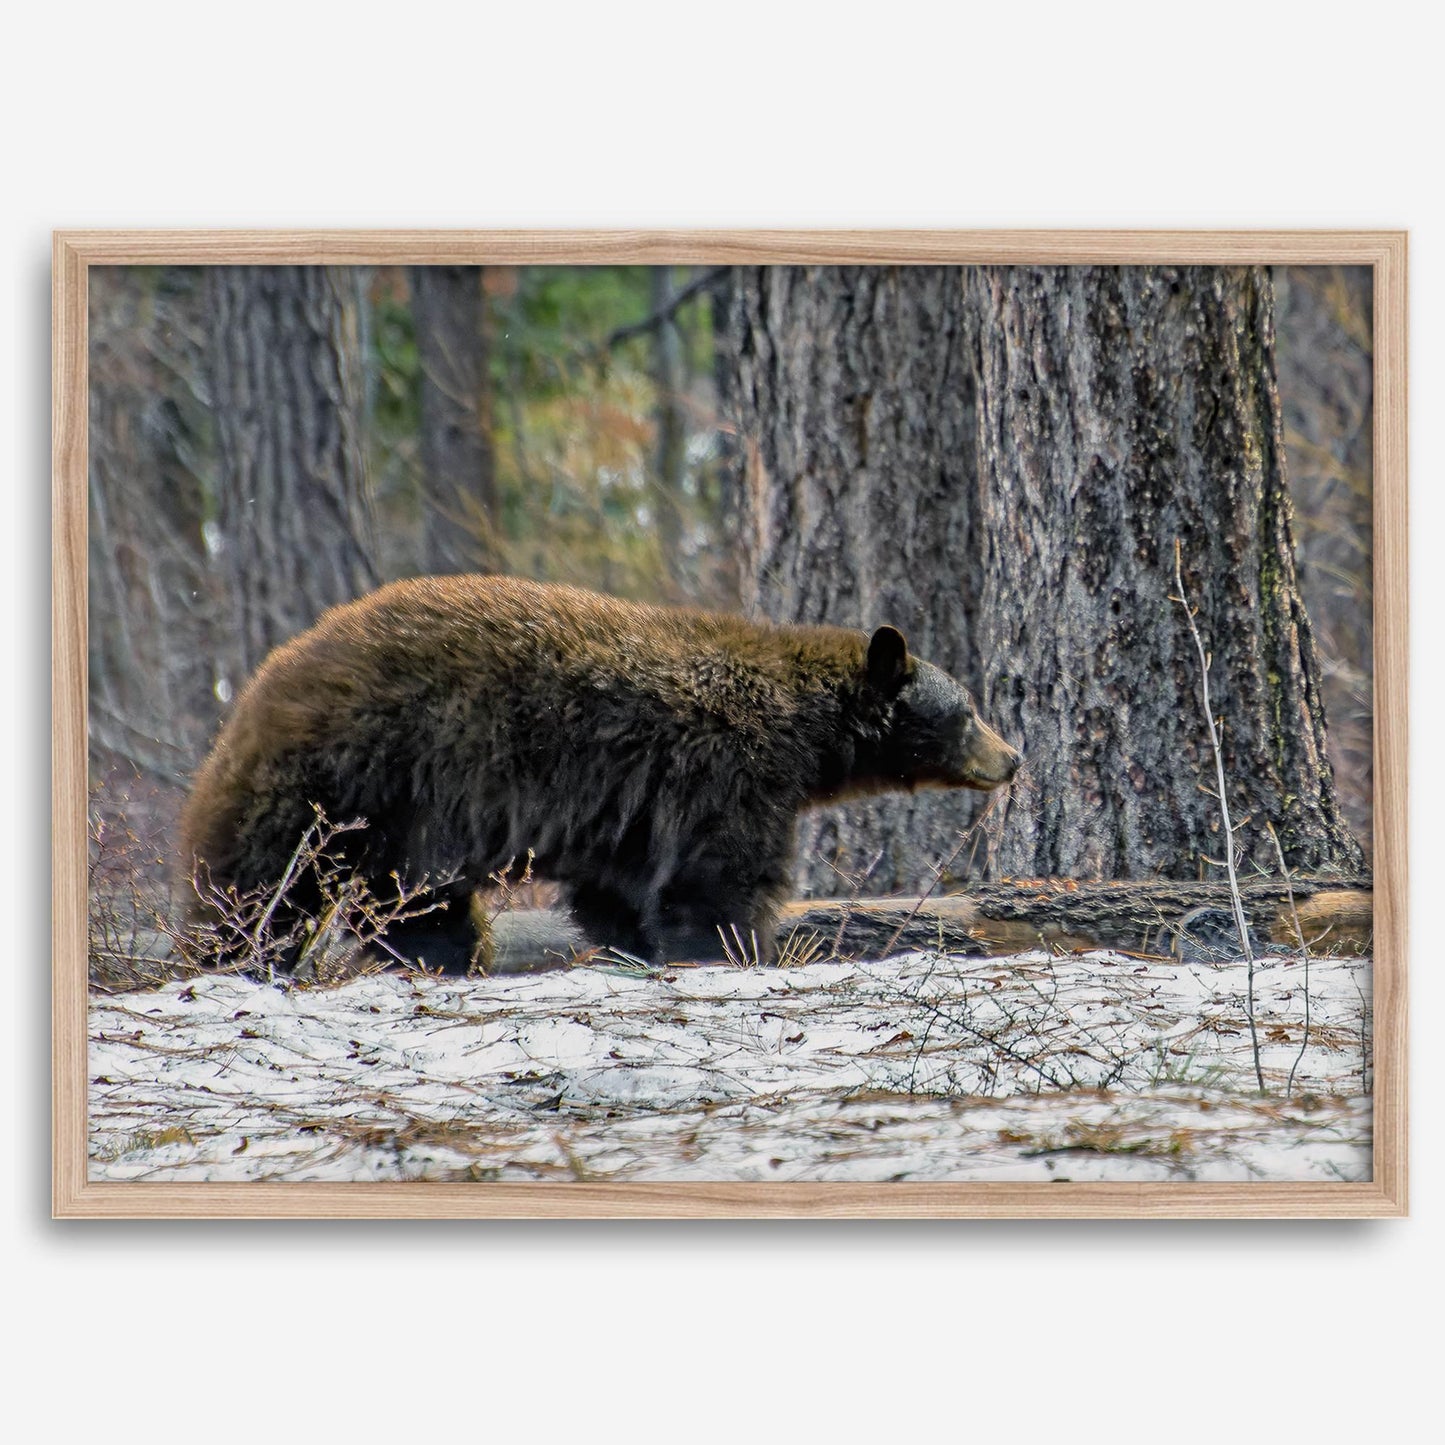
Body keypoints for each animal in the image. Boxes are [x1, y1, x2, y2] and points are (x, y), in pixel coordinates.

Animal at [178, 575, 1021, 973]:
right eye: (967, 709)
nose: (1011, 758)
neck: (804, 733)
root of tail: (258, 687)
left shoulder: (630, 807)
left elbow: (619, 890)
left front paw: (637, 945)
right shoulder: (725, 772)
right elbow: (718, 878)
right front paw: (733, 947)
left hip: (392, 821)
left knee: (414, 904)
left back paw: (447, 957)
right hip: (350, 779)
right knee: (261, 885)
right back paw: (232, 953)